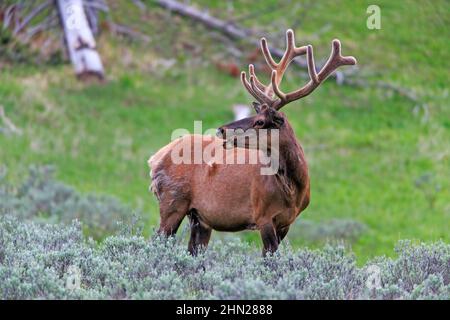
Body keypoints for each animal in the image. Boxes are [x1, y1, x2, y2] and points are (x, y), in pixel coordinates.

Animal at [149, 29, 356, 255]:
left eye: (259, 121)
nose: (221, 129)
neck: (294, 191)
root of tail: (155, 158)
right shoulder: (262, 214)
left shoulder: (286, 222)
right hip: (172, 201)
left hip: (199, 217)